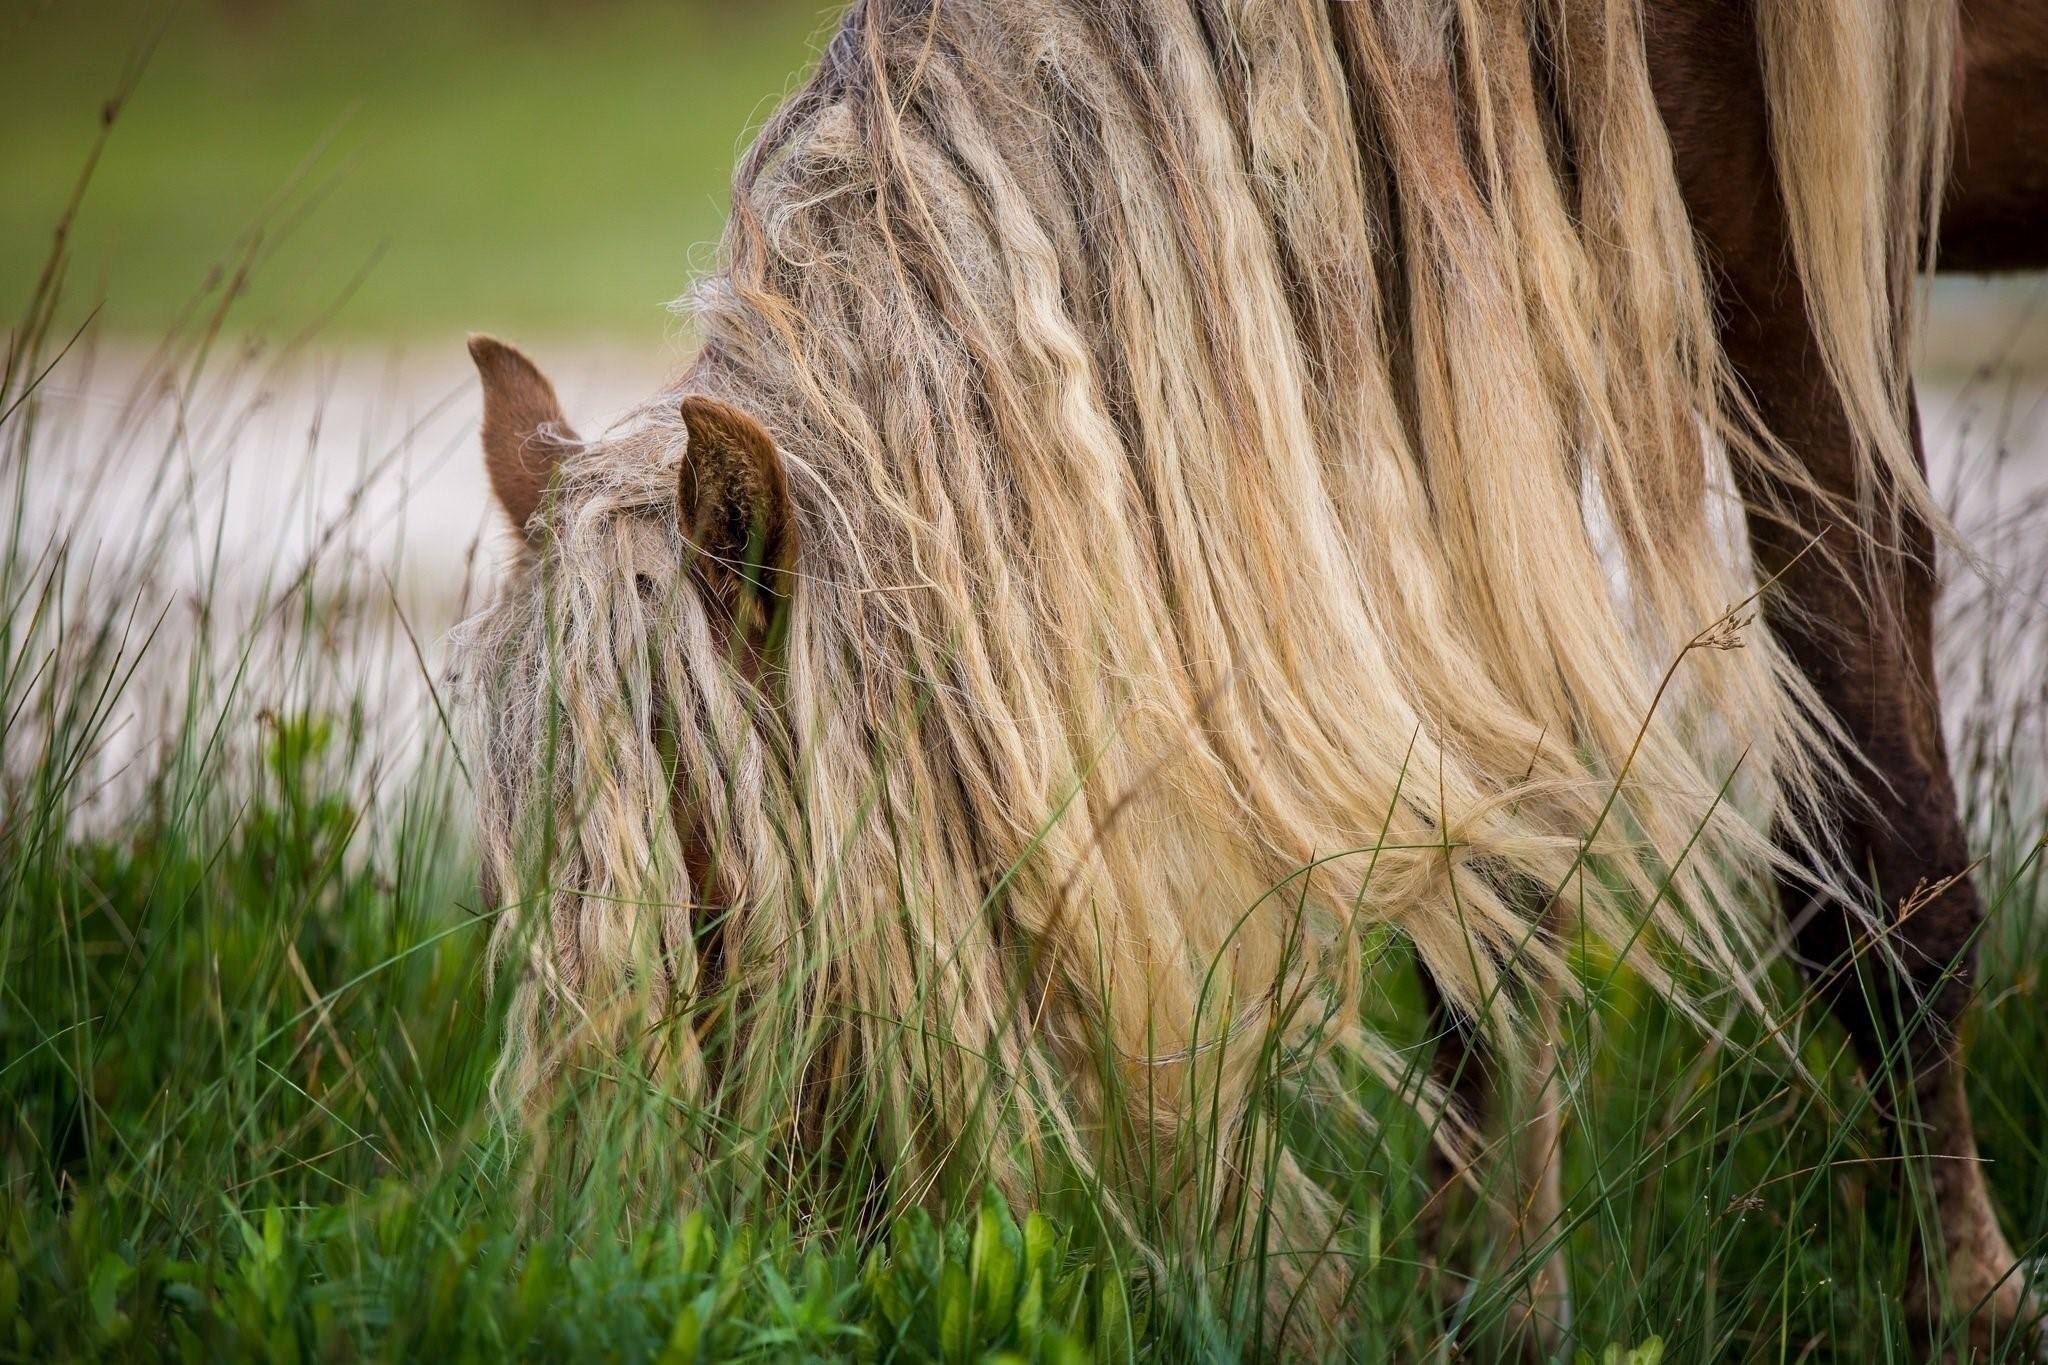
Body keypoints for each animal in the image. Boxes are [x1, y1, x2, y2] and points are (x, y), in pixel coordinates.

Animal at [452, 0, 2048, 1342]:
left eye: (717, 916)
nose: (708, 1284)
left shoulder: (1803, 254)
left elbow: (1880, 883)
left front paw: (1964, 1300)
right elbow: (1481, 893)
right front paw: (1479, 1310)